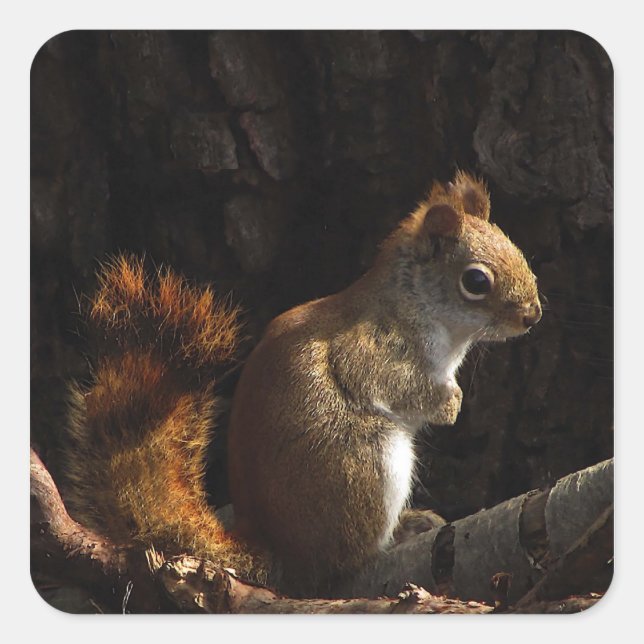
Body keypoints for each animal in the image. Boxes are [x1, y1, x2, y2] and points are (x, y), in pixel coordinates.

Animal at [62, 171, 541, 598]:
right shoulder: (371, 350)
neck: (418, 306)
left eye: (518, 250)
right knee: (344, 561)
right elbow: (395, 385)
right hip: (365, 466)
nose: (532, 315)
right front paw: (449, 403)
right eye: (476, 281)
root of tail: (283, 556)